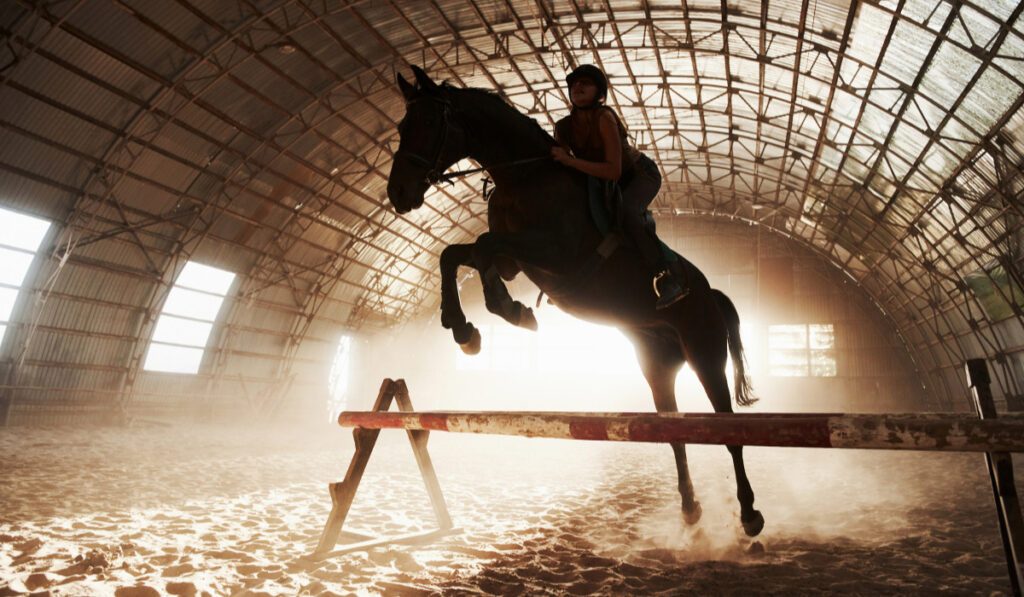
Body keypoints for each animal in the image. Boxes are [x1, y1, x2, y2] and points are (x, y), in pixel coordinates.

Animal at [387, 65, 765, 536]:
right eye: (401, 126)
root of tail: (710, 294)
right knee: (674, 432)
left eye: (426, 122)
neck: (523, 177)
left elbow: (482, 246)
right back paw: (690, 509)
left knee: (728, 431)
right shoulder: (515, 259)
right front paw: (469, 328)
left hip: (705, 354)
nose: (397, 194)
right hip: (656, 364)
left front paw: (505, 312)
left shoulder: (556, 253)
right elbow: (457, 253)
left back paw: (749, 515)